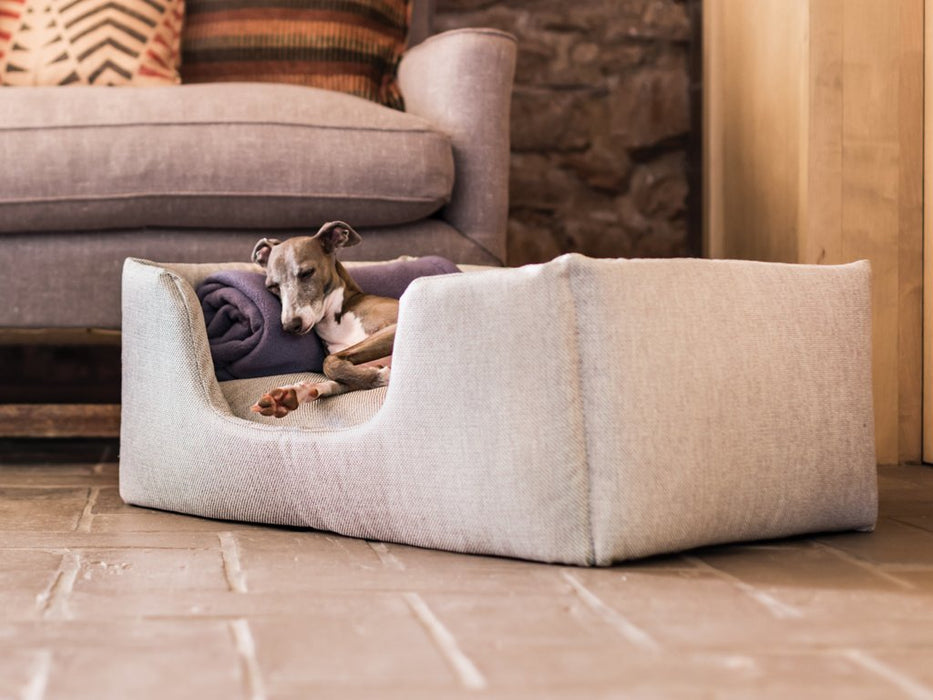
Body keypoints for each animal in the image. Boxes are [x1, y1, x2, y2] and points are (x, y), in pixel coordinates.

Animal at [249, 221, 396, 416]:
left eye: (306, 273)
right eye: (272, 286)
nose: (291, 326)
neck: (337, 320)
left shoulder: (394, 328)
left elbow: (329, 363)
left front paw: (381, 376)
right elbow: (337, 378)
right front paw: (291, 394)